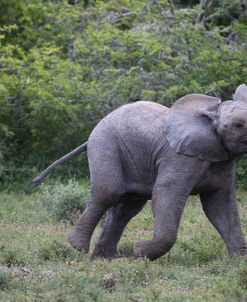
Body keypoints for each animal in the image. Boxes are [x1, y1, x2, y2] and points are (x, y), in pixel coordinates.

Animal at [33, 84, 247, 260]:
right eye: (239, 125)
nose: (137, 248)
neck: (211, 117)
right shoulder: (179, 158)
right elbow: (165, 194)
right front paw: (139, 251)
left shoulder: (223, 160)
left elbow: (219, 206)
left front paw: (238, 262)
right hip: (105, 145)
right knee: (108, 192)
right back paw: (77, 246)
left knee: (126, 208)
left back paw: (105, 259)